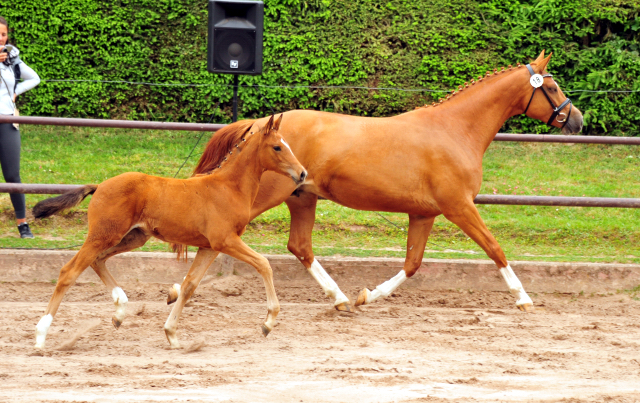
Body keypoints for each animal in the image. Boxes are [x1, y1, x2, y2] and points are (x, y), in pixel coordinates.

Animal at [31, 115, 306, 348]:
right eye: (277, 147)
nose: (302, 173)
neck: (228, 188)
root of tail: (99, 186)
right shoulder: (226, 241)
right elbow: (264, 264)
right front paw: (268, 323)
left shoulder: (209, 247)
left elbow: (189, 285)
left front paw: (171, 334)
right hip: (104, 235)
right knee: (69, 271)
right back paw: (41, 336)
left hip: (132, 237)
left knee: (97, 261)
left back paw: (120, 311)